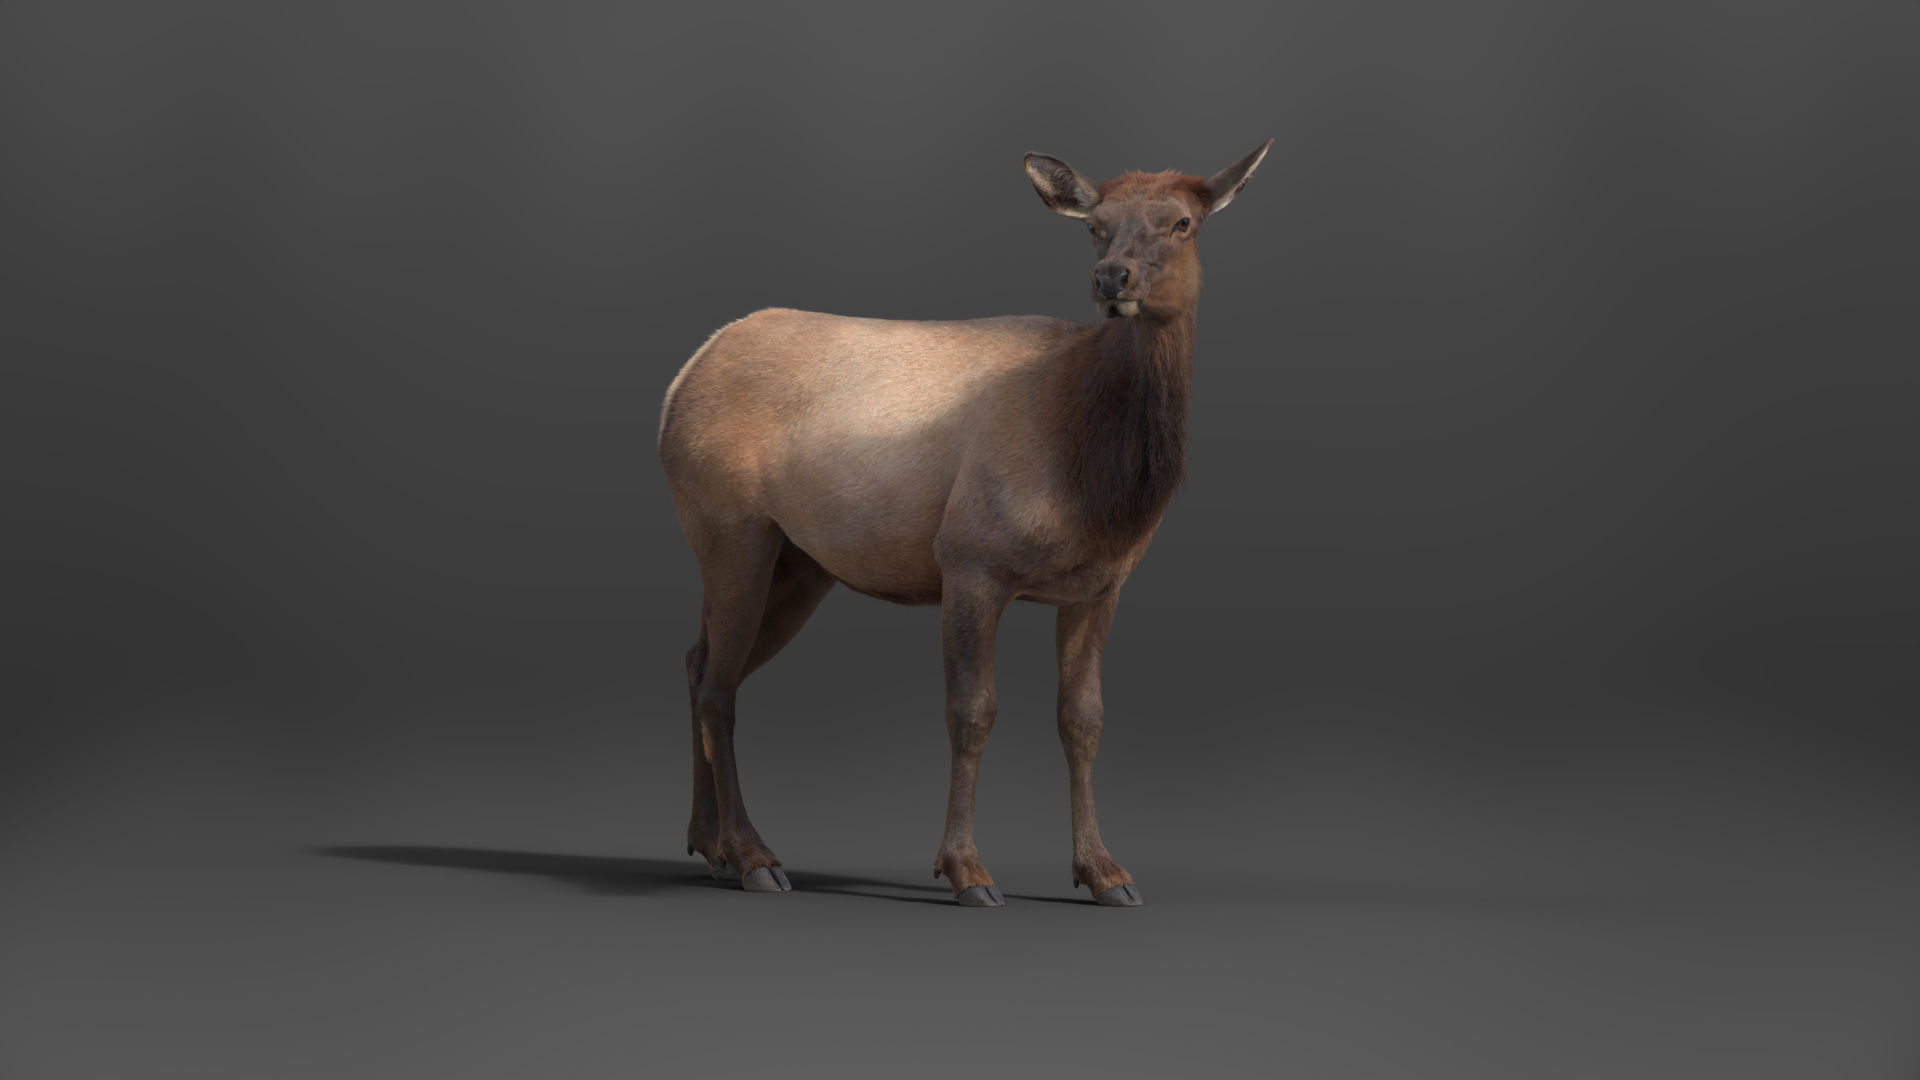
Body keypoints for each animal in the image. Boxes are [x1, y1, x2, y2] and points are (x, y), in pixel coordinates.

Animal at [657, 140, 1271, 907]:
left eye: (1184, 222)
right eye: (1093, 226)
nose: (1111, 277)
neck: (1096, 488)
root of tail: (680, 381)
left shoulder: (1100, 584)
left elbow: (1083, 719)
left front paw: (1104, 873)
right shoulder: (970, 557)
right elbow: (972, 711)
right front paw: (966, 871)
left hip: (802, 563)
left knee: (699, 660)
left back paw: (705, 842)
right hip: (726, 525)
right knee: (719, 685)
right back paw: (753, 857)